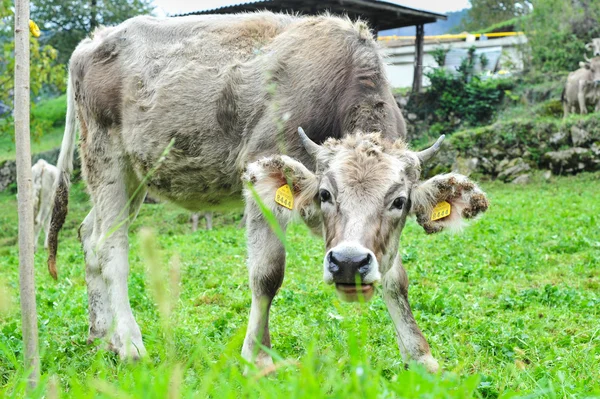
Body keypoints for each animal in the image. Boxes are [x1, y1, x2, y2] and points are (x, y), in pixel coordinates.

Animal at [47, 13, 488, 376]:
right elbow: (267, 273)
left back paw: (100, 334)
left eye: (399, 202)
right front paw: (258, 355)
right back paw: (129, 342)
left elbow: (396, 277)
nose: (347, 263)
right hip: (105, 158)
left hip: (136, 176)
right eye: (325, 194)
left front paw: (420, 355)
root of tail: (92, 41)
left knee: (89, 235)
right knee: (110, 247)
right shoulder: (260, 177)